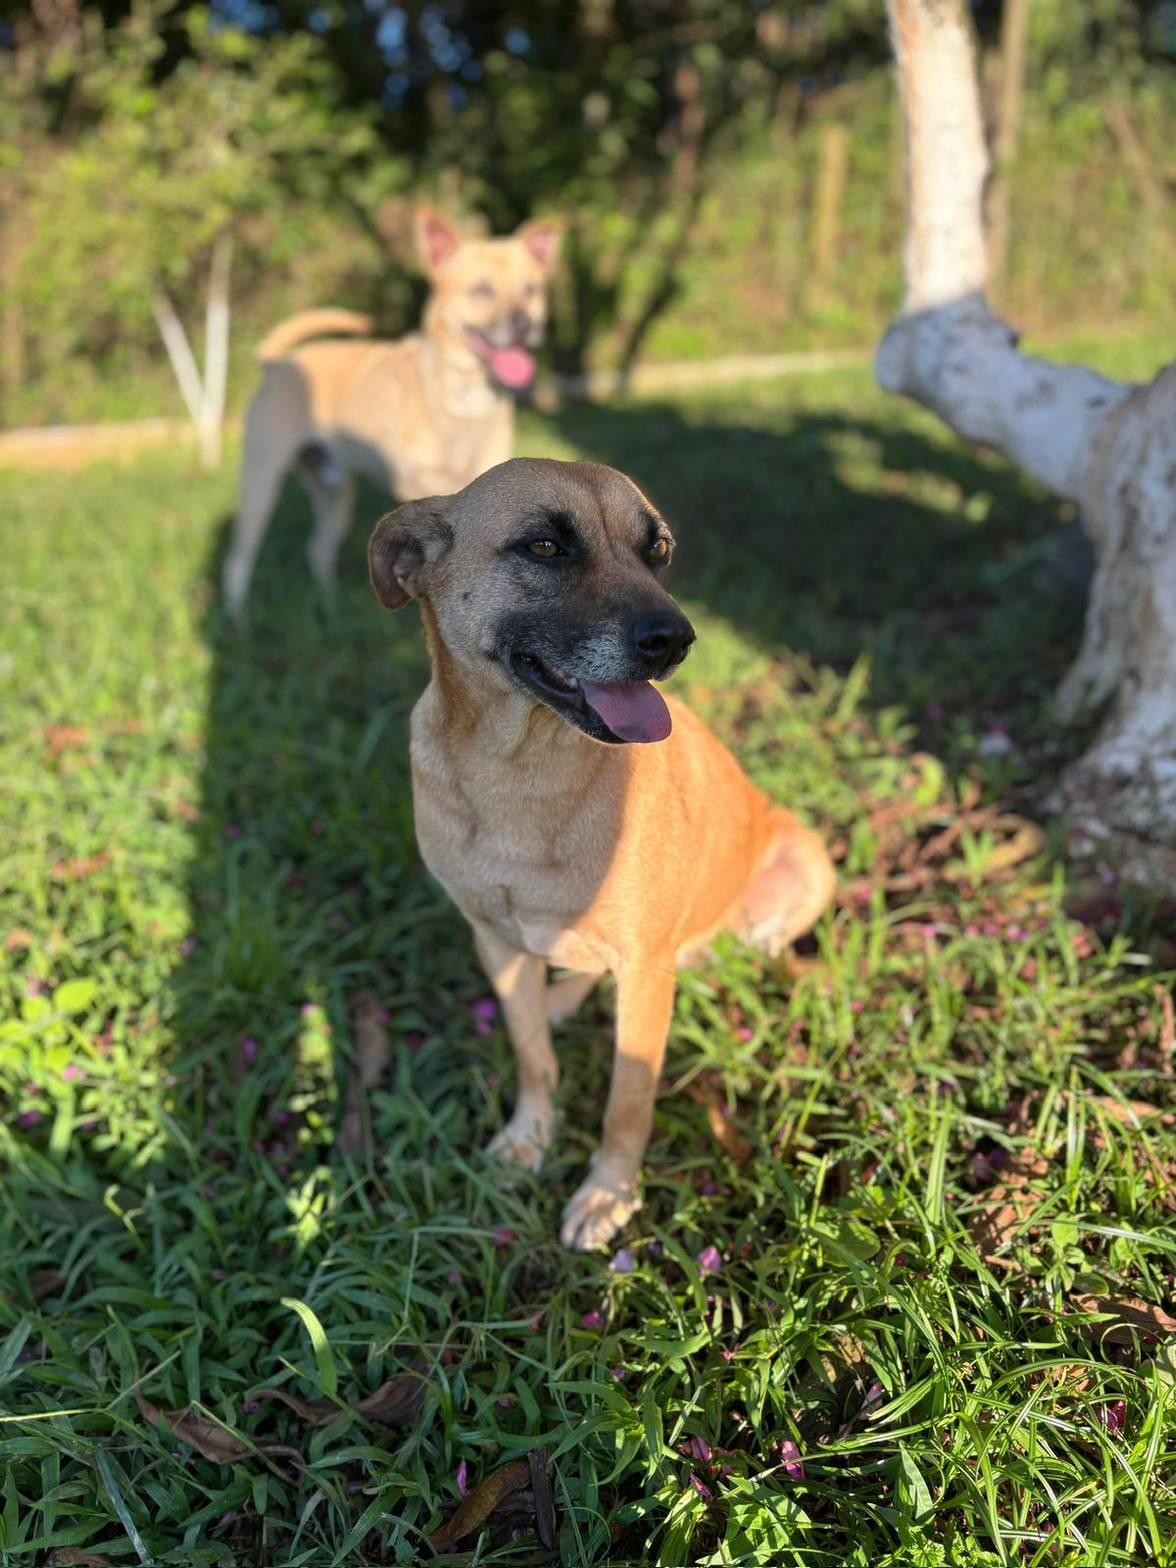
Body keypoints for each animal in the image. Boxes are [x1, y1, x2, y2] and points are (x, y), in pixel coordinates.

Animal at [223, 209, 562, 619]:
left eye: (531, 289)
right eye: (482, 290)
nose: (526, 325)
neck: (465, 401)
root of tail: (277, 363)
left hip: (334, 492)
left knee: (318, 549)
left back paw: (331, 607)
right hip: (262, 485)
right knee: (239, 559)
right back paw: (238, 617)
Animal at [367, 457, 835, 1250]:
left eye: (659, 552)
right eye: (545, 547)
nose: (675, 640)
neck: (522, 772)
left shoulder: (645, 965)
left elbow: (628, 1099)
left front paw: (608, 1194)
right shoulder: (496, 942)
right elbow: (532, 1056)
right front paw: (530, 1138)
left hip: (804, 865)